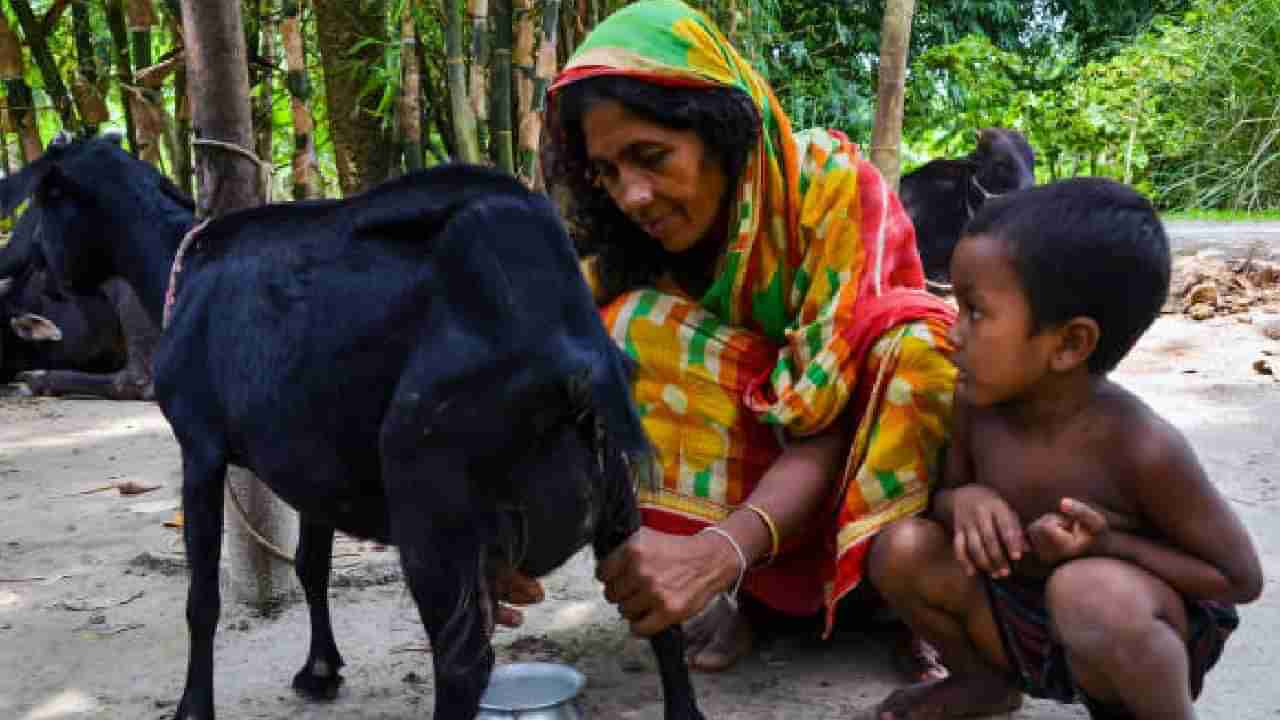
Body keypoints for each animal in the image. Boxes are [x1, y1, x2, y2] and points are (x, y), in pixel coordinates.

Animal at [0, 135, 701, 717]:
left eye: (37, 203)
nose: (14, 266)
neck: (176, 265)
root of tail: (569, 351)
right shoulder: (313, 460)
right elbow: (311, 564)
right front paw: (320, 670)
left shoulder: (198, 445)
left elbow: (203, 597)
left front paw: (193, 707)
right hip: (616, 497)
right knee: (658, 616)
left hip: (430, 502)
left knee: (463, 665)